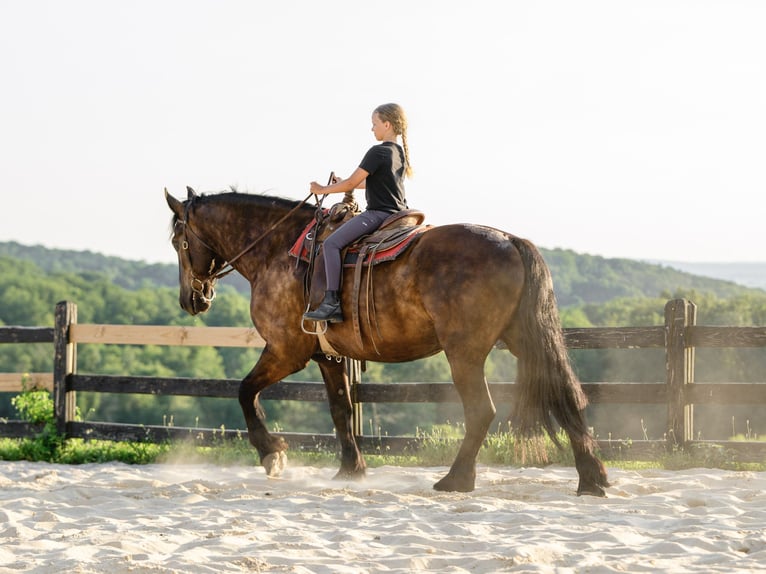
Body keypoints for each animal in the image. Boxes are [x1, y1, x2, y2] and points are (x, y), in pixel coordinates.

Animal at [165, 186, 610, 496]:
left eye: (177, 241)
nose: (192, 299)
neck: (278, 251)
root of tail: (511, 240)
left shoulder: (286, 351)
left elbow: (245, 392)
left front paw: (271, 453)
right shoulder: (328, 357)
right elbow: (341, 409)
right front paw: (351, 469)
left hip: (465, 353)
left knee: (481, 411)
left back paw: (456, 479)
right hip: (525, 341)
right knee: (566, 396)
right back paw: (592, 478)